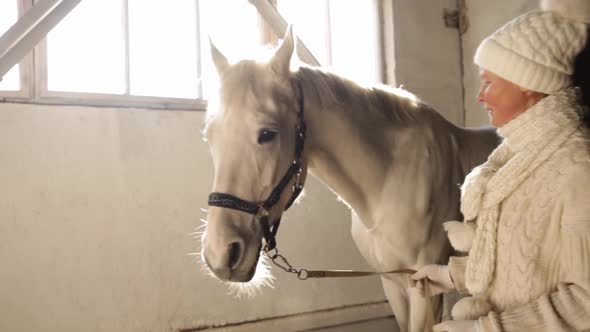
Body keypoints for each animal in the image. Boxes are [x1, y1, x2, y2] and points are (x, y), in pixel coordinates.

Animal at [202, 29, 500, 332]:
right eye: (209, 136)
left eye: (267, 134)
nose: (219, 253)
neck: (390, 180)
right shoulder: (393, 282)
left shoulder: (424, 289)